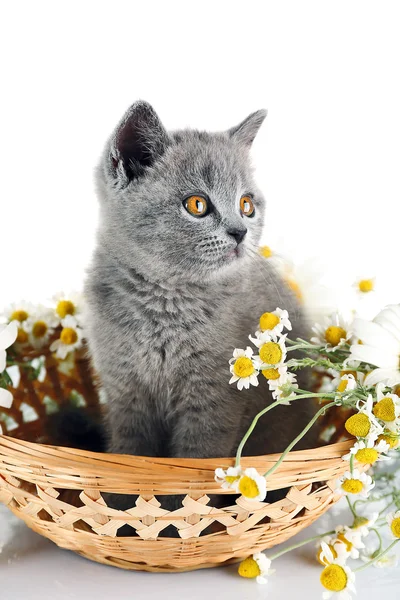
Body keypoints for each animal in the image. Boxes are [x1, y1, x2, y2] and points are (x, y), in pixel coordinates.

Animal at [83, 99, 316, 474]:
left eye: (246, 204)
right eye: (197, 204)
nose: (240, 231)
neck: (165, 300)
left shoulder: (214, 400)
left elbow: (197, 459)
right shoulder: (125, 392)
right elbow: (129, 455)